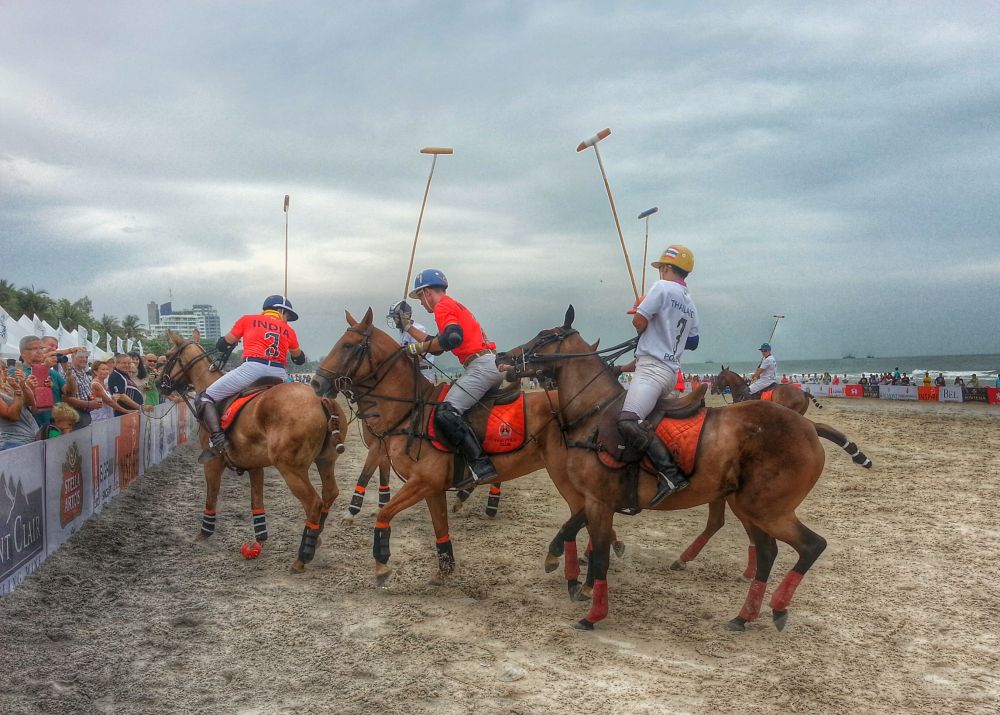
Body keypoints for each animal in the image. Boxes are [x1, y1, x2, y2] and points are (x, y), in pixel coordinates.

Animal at [160, 332, 348, 572]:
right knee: (330, 493)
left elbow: (211, 497)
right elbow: (257, 503)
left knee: (314, 503)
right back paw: (316, 538)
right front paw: (260, 540)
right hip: (325, 460)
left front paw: (203, 534)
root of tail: (320, 399)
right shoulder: (255, 465)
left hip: (291, 468)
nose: (159, 382)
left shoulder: (213, 462)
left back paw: (302, 557)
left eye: (167, 355)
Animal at [312, 308, 624, 588]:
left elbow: (384, 513)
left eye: (348, 345)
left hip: (563, 473)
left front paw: (380, 563)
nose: (316, 383)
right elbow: (439, 527)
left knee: (584, 510)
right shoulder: (431, 486)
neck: (410, 410)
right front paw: (444, 570)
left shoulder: (421, 481)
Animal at [504, 308, 872, 632]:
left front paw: (592, 614)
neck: (593, 413)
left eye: (544, 336)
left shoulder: (598, 500)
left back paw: (777, 608)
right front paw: (573, 577)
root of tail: (809, 428)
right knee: (768, 552)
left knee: (810, 545)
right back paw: (744, 616)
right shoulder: (598, 500)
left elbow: (598, 555)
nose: (505, 358)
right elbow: (580, 535)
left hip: (767, 508)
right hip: (749, 505)